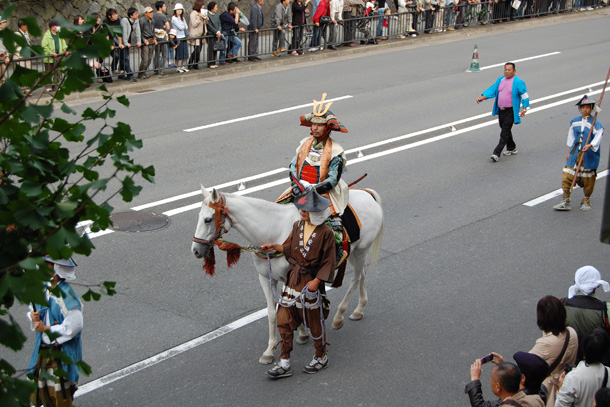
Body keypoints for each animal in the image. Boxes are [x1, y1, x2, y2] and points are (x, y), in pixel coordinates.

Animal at [191, 185, 384, 364]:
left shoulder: (290, 276)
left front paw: (302, 333)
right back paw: (359, 309)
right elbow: (272, 312)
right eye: (199, 216)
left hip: (361, 250)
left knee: (355, 279)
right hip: (354, 253)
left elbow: (293, 304)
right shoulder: (265, 278)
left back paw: (339, 317)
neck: (272, 230)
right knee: (362, 274)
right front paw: (270, 350)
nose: (195, 250)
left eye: (208, 219)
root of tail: (366, 192)